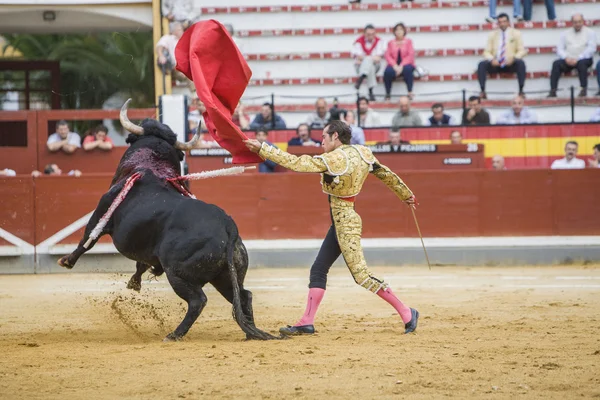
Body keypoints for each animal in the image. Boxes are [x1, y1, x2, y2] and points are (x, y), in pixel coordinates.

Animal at [57, 99, 278, 340]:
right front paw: (135, 282)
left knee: (198, 300)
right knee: (244, 296)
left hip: (178, 272)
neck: (152, 165)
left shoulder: (102, 212)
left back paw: (174, 334)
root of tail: (228, 226)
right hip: (226, 275)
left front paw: (67, 261)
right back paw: (251, 333)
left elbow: (87, 238)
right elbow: (142, 263)